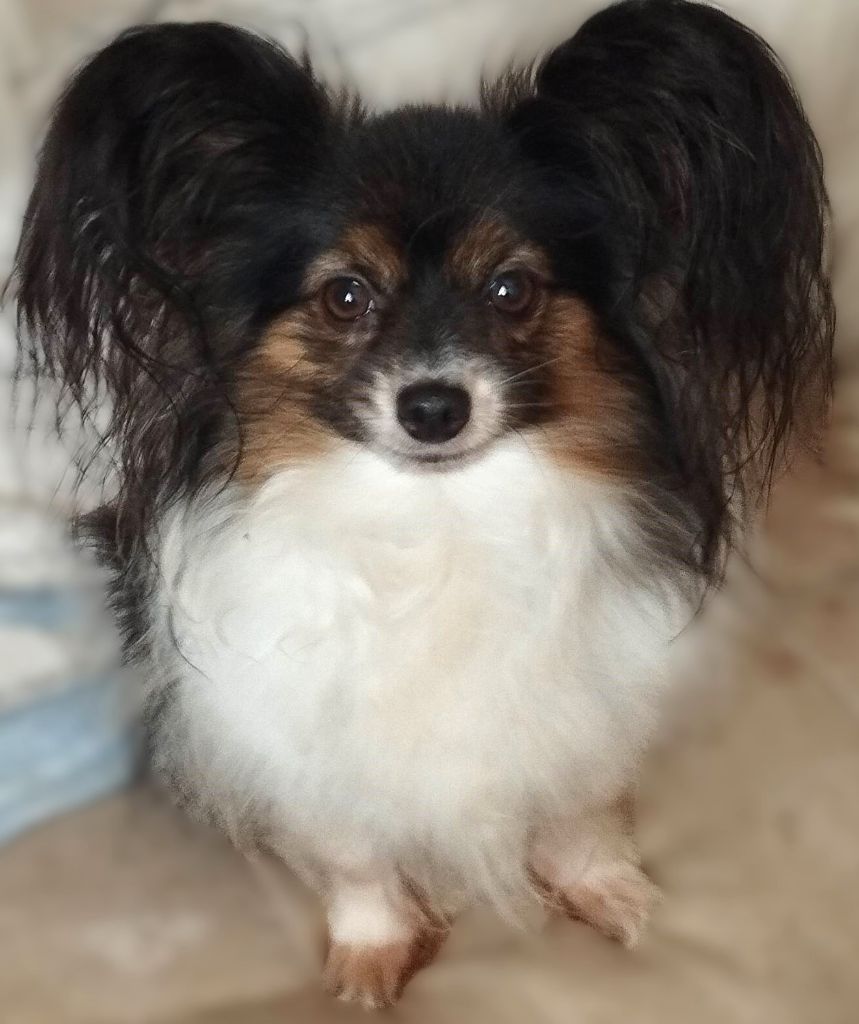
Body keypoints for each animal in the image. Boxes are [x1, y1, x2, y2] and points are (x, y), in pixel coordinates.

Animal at [14, 0, 834, 1008]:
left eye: (510, 289)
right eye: (345, 295)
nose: (434, 407)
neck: (436, 519)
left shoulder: (581, 706)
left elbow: (581, 806)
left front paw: (612, 894)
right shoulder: (308, 742)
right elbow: (354, 856)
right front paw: (372, 955)